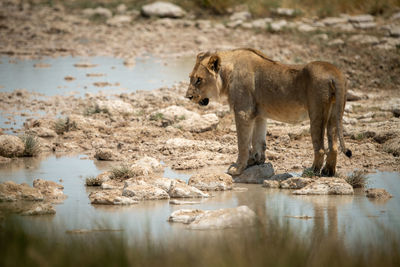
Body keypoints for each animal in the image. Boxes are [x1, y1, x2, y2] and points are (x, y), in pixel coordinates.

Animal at [186, 48, 352, 178]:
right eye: (190, 78)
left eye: (199, 80)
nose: (188, 97)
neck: (227, 73)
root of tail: (334, 72)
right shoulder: (258, 113)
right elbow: (258, 141)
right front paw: (255, 161)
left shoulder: (243, 112)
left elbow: (243, 143)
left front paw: (237, 168)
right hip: (334, 114)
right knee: (333, 145)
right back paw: (328, 172)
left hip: (317, 113)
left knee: (320, 148)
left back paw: (311, 172)